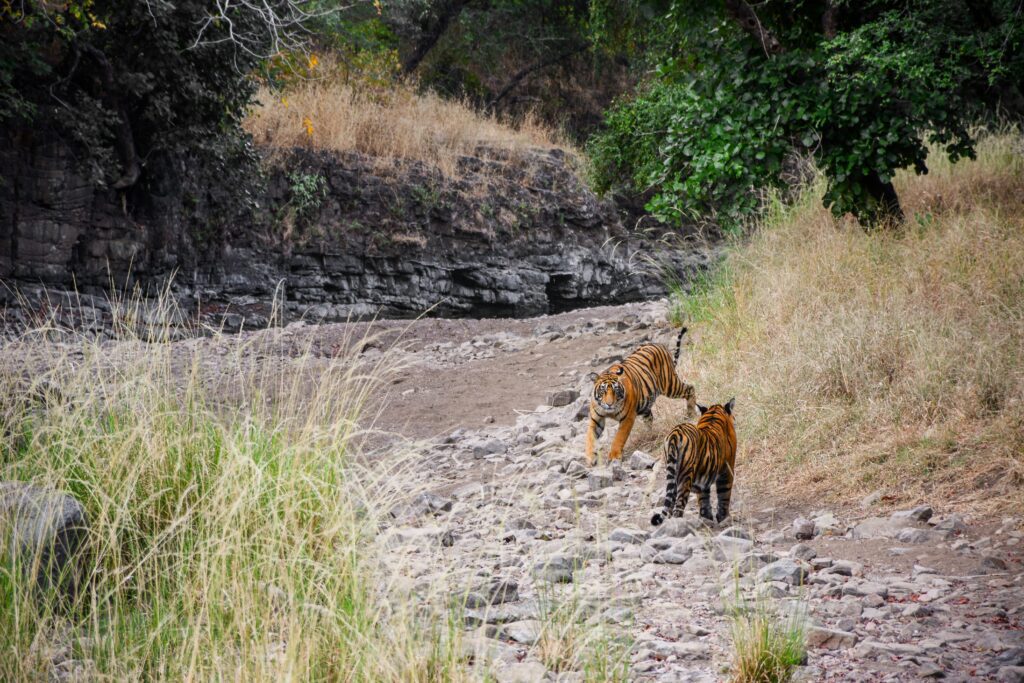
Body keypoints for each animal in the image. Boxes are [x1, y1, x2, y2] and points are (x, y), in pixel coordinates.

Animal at [585, 327, 696, 466]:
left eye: (616, 390)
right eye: (603, 391)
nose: (609, 404)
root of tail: (658, 344)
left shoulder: (627, 418)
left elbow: (619, 438)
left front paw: (614, 456)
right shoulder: (596, 419)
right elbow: (590, 438)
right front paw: (590, 457)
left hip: (670, 386)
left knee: (690, 388)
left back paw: (691, 413)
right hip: (646, 404)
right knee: (650, 418)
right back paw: (649, 434)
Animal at [655, 397, 737, 528]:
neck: (714, 412)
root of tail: (675, 434)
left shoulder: (703, 475)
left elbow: (703, 499)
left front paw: (706, 518)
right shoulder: (727, 470)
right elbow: (724, 495)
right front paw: (724, 518)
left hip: (672, 475)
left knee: (670, 505)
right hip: (685, 477)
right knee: (678, 507)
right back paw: (678, 525)